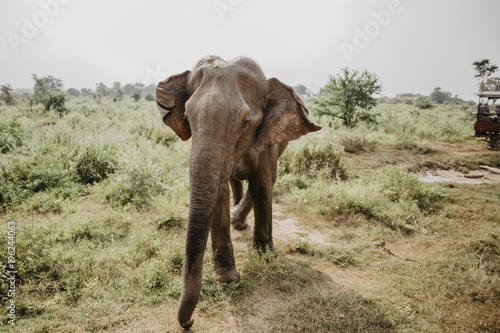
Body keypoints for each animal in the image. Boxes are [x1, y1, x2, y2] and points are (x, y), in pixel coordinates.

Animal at [154, 55, 322, 328]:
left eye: (245, 123)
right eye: (188, 118)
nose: (190, 323)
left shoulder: (267, 137)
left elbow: (263, 183)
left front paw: (265, 257)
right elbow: (219, 189)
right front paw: (226, 278)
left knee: (268, 181)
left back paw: (239, 220)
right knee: (236, 181)